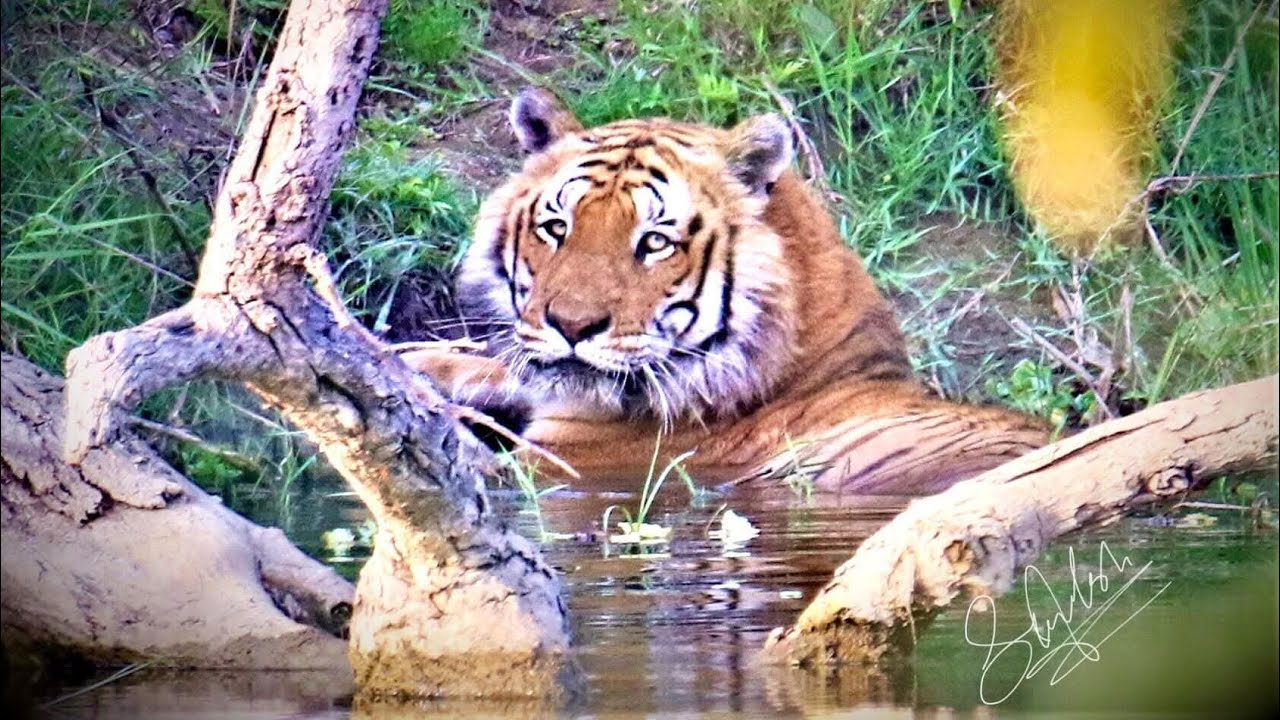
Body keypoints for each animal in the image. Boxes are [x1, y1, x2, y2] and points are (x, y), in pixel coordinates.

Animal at [402, 87, 1049, 495]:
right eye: (557, 228)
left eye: (655, 242)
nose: (572, 326)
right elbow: (490, 366)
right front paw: (411, 365)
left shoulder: (560, 468)